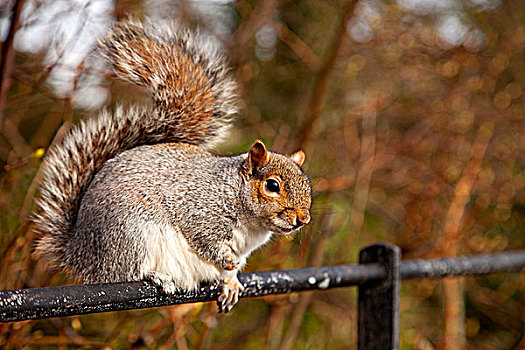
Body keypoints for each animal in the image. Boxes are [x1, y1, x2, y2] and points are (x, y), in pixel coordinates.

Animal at [31, 18, 312, 312]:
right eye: (272, 185)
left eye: (307, 185)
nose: (303, 219)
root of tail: (78, 252)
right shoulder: (200, 211)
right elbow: (206, 241)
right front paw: (228, 261)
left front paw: (231, 282)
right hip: (130, 234)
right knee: (127, 270)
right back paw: (157, 276)